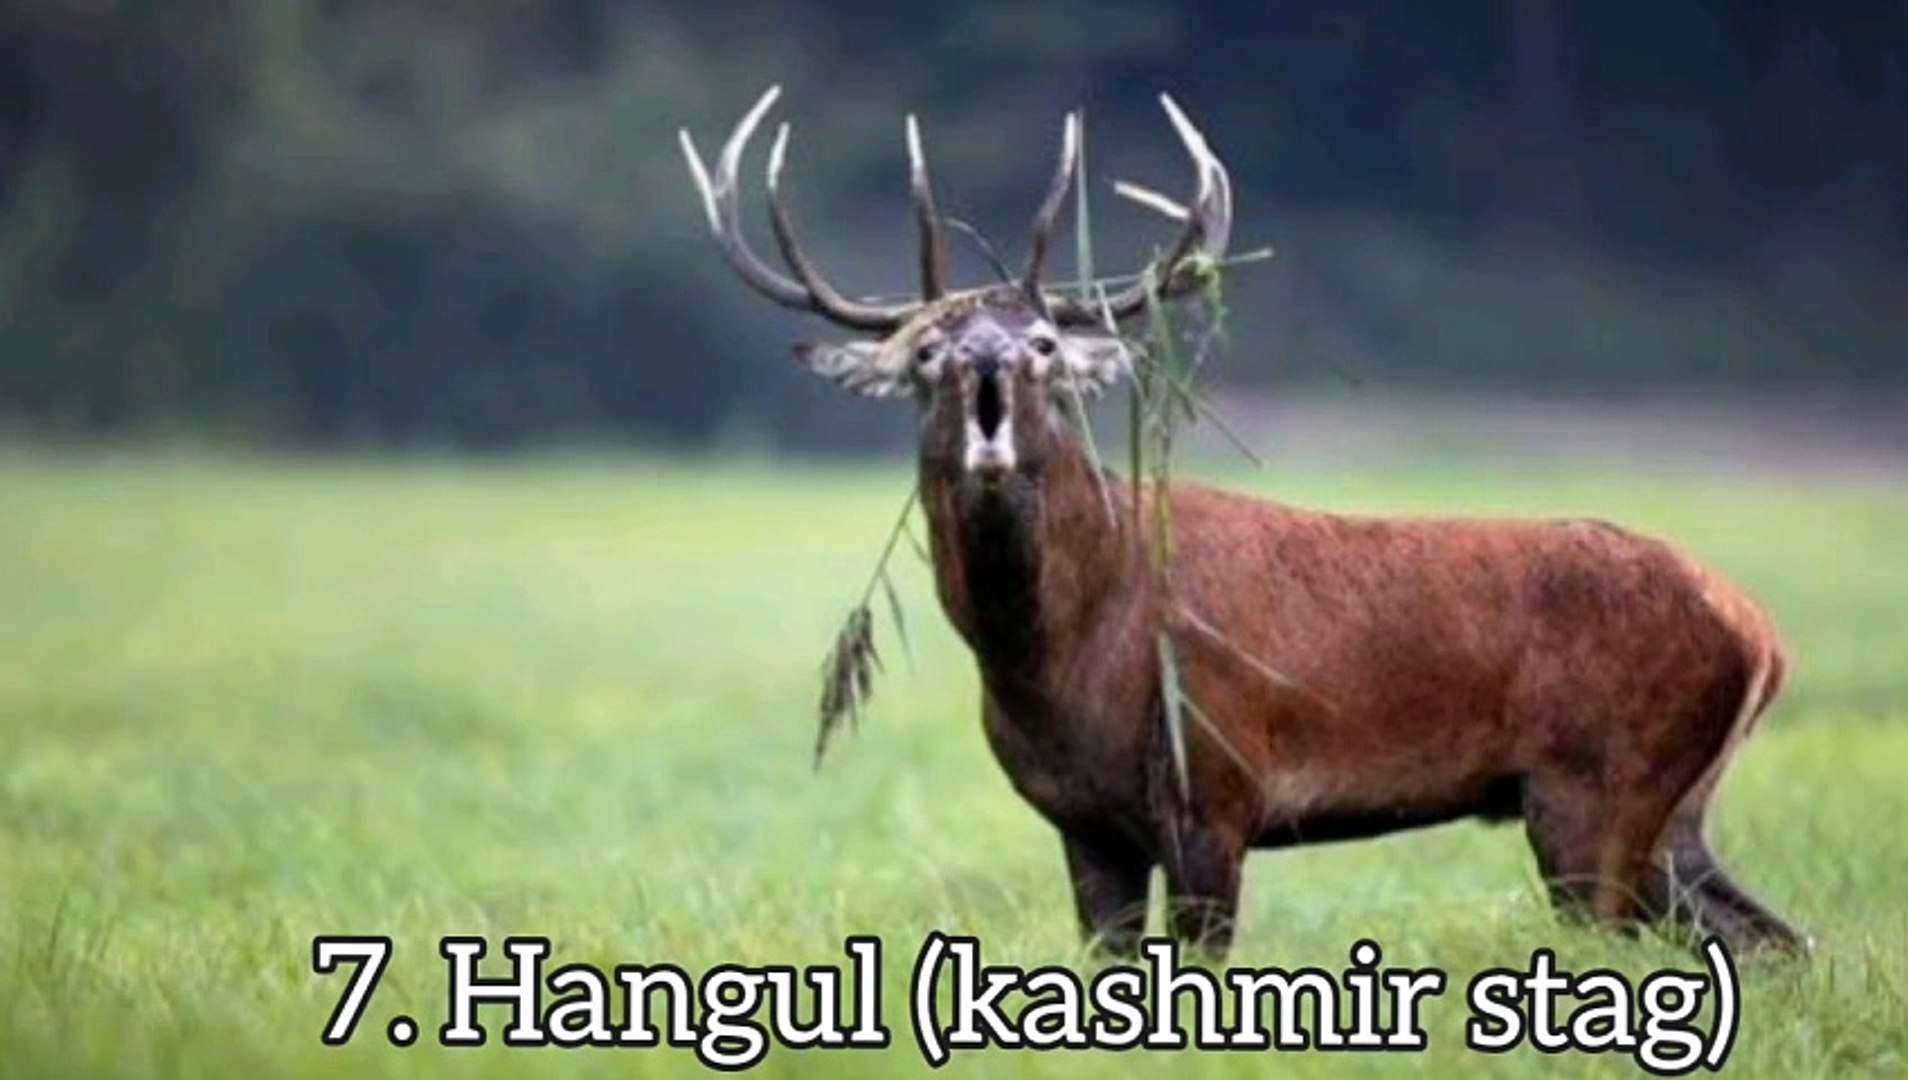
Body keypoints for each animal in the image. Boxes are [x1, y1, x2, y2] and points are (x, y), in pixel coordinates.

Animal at [679, 86, 1809, 961]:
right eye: (925, 350)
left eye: (1043, 343)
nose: (987, 356)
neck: (1064, 658)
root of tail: (1760, 632)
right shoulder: (1083, 824)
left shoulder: (1218, 787)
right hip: (1673, 807)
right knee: (1775, 940)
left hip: (1597, 785)